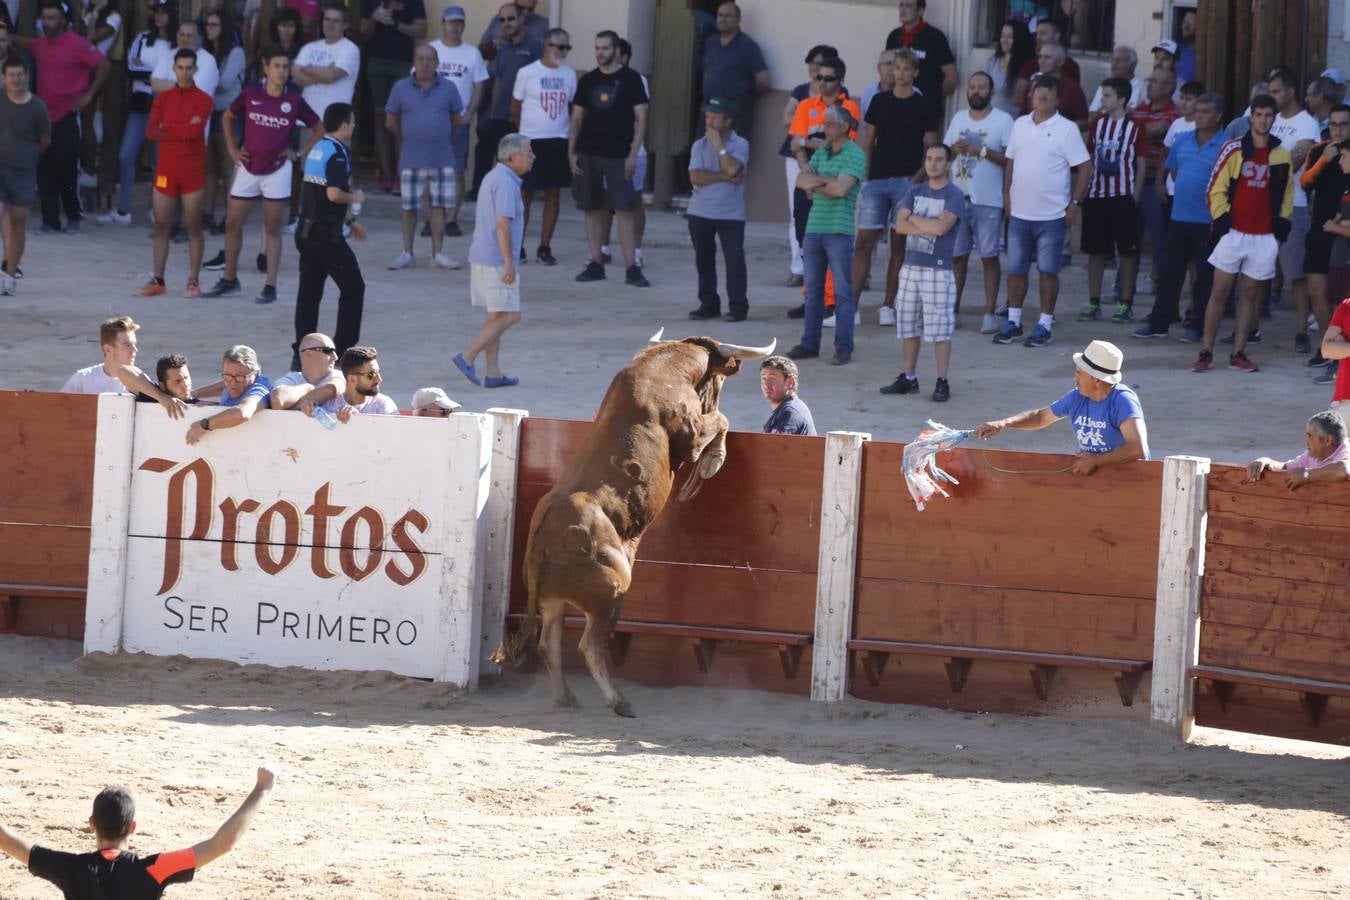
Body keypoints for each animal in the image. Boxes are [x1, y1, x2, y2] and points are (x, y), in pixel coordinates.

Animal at [496, 330, 777, 717]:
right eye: (719, 380)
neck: (665, 370)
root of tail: (542, 544)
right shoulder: (692, 435)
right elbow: (721, 420)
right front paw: (713, 462)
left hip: (552, 601)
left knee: (549, 644)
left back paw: (567, 697)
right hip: (613, 591)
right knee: (589, 646)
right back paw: (618, 701)